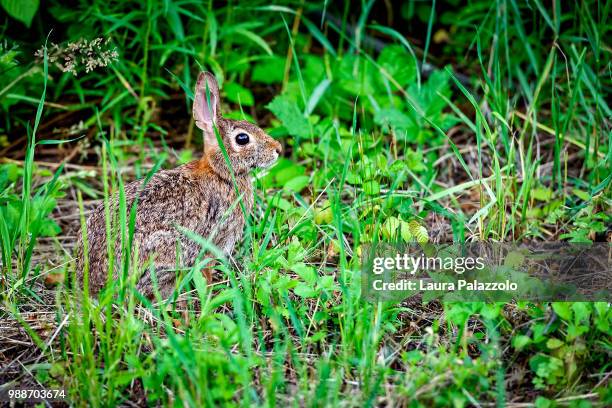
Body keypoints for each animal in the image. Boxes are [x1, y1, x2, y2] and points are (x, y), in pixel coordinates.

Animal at [77, 71, 284, 298]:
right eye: (242, 139)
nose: (278, 149)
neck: (220, 173)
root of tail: (94, 285)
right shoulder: (213, 241)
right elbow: (206, 271)